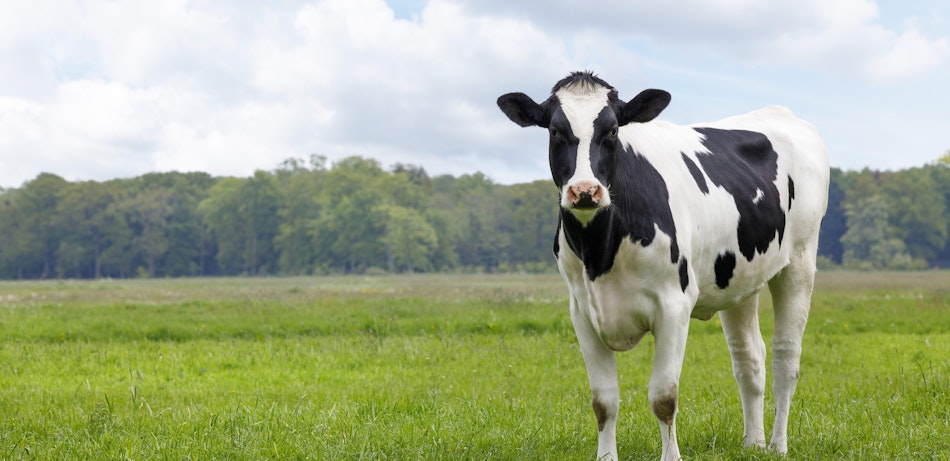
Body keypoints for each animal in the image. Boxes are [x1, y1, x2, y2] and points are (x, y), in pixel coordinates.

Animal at [497, 71, 828, 461]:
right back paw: (754, 443)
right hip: (740, 279)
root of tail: (781, 112)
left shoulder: (674, 305)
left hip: (800, 261)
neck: (601, 252)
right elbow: (603, 402)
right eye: (554, 130)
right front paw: (606, 456)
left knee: (785, 356)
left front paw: (671, 455)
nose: (585, 191)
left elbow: (664, 397)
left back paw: (778, 444)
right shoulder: (582, 312)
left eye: (613, 130)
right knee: (749, 359)